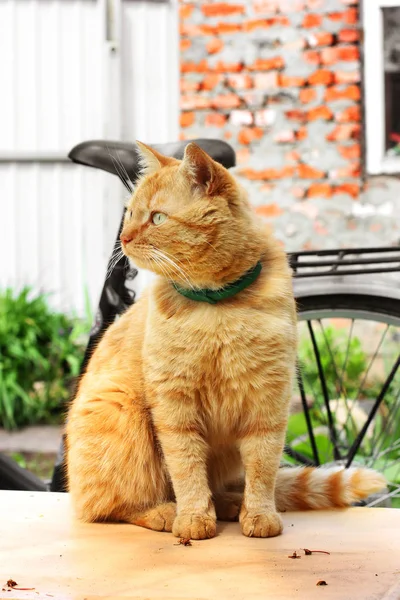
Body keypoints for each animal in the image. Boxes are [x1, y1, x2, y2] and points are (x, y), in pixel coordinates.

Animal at [67, 141, 386, 540]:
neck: (215, 304)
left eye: (157, 218)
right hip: (121, 413)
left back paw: (230, 504)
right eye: (130, 215)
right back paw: (164, 512)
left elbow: (263, 468)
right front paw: (192, 518)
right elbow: (186, 468)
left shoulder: (268, 402)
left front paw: (259, 514)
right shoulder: (174, 405)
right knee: (107, 506)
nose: (124, 239)